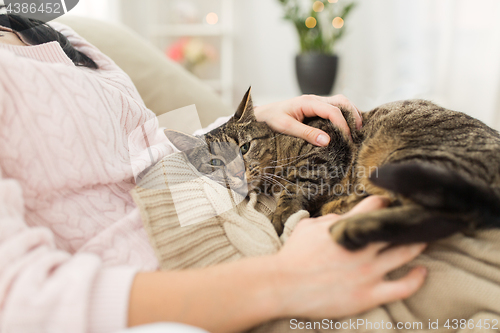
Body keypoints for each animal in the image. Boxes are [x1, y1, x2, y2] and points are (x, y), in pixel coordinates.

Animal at [166, 88, 500, 249]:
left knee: (449, 214)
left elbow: (295, 186)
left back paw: (350, 224)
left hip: (408, 160)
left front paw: (281, 215)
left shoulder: (325, 147)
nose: (236, 173)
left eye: (244, 148)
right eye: (215, 163)